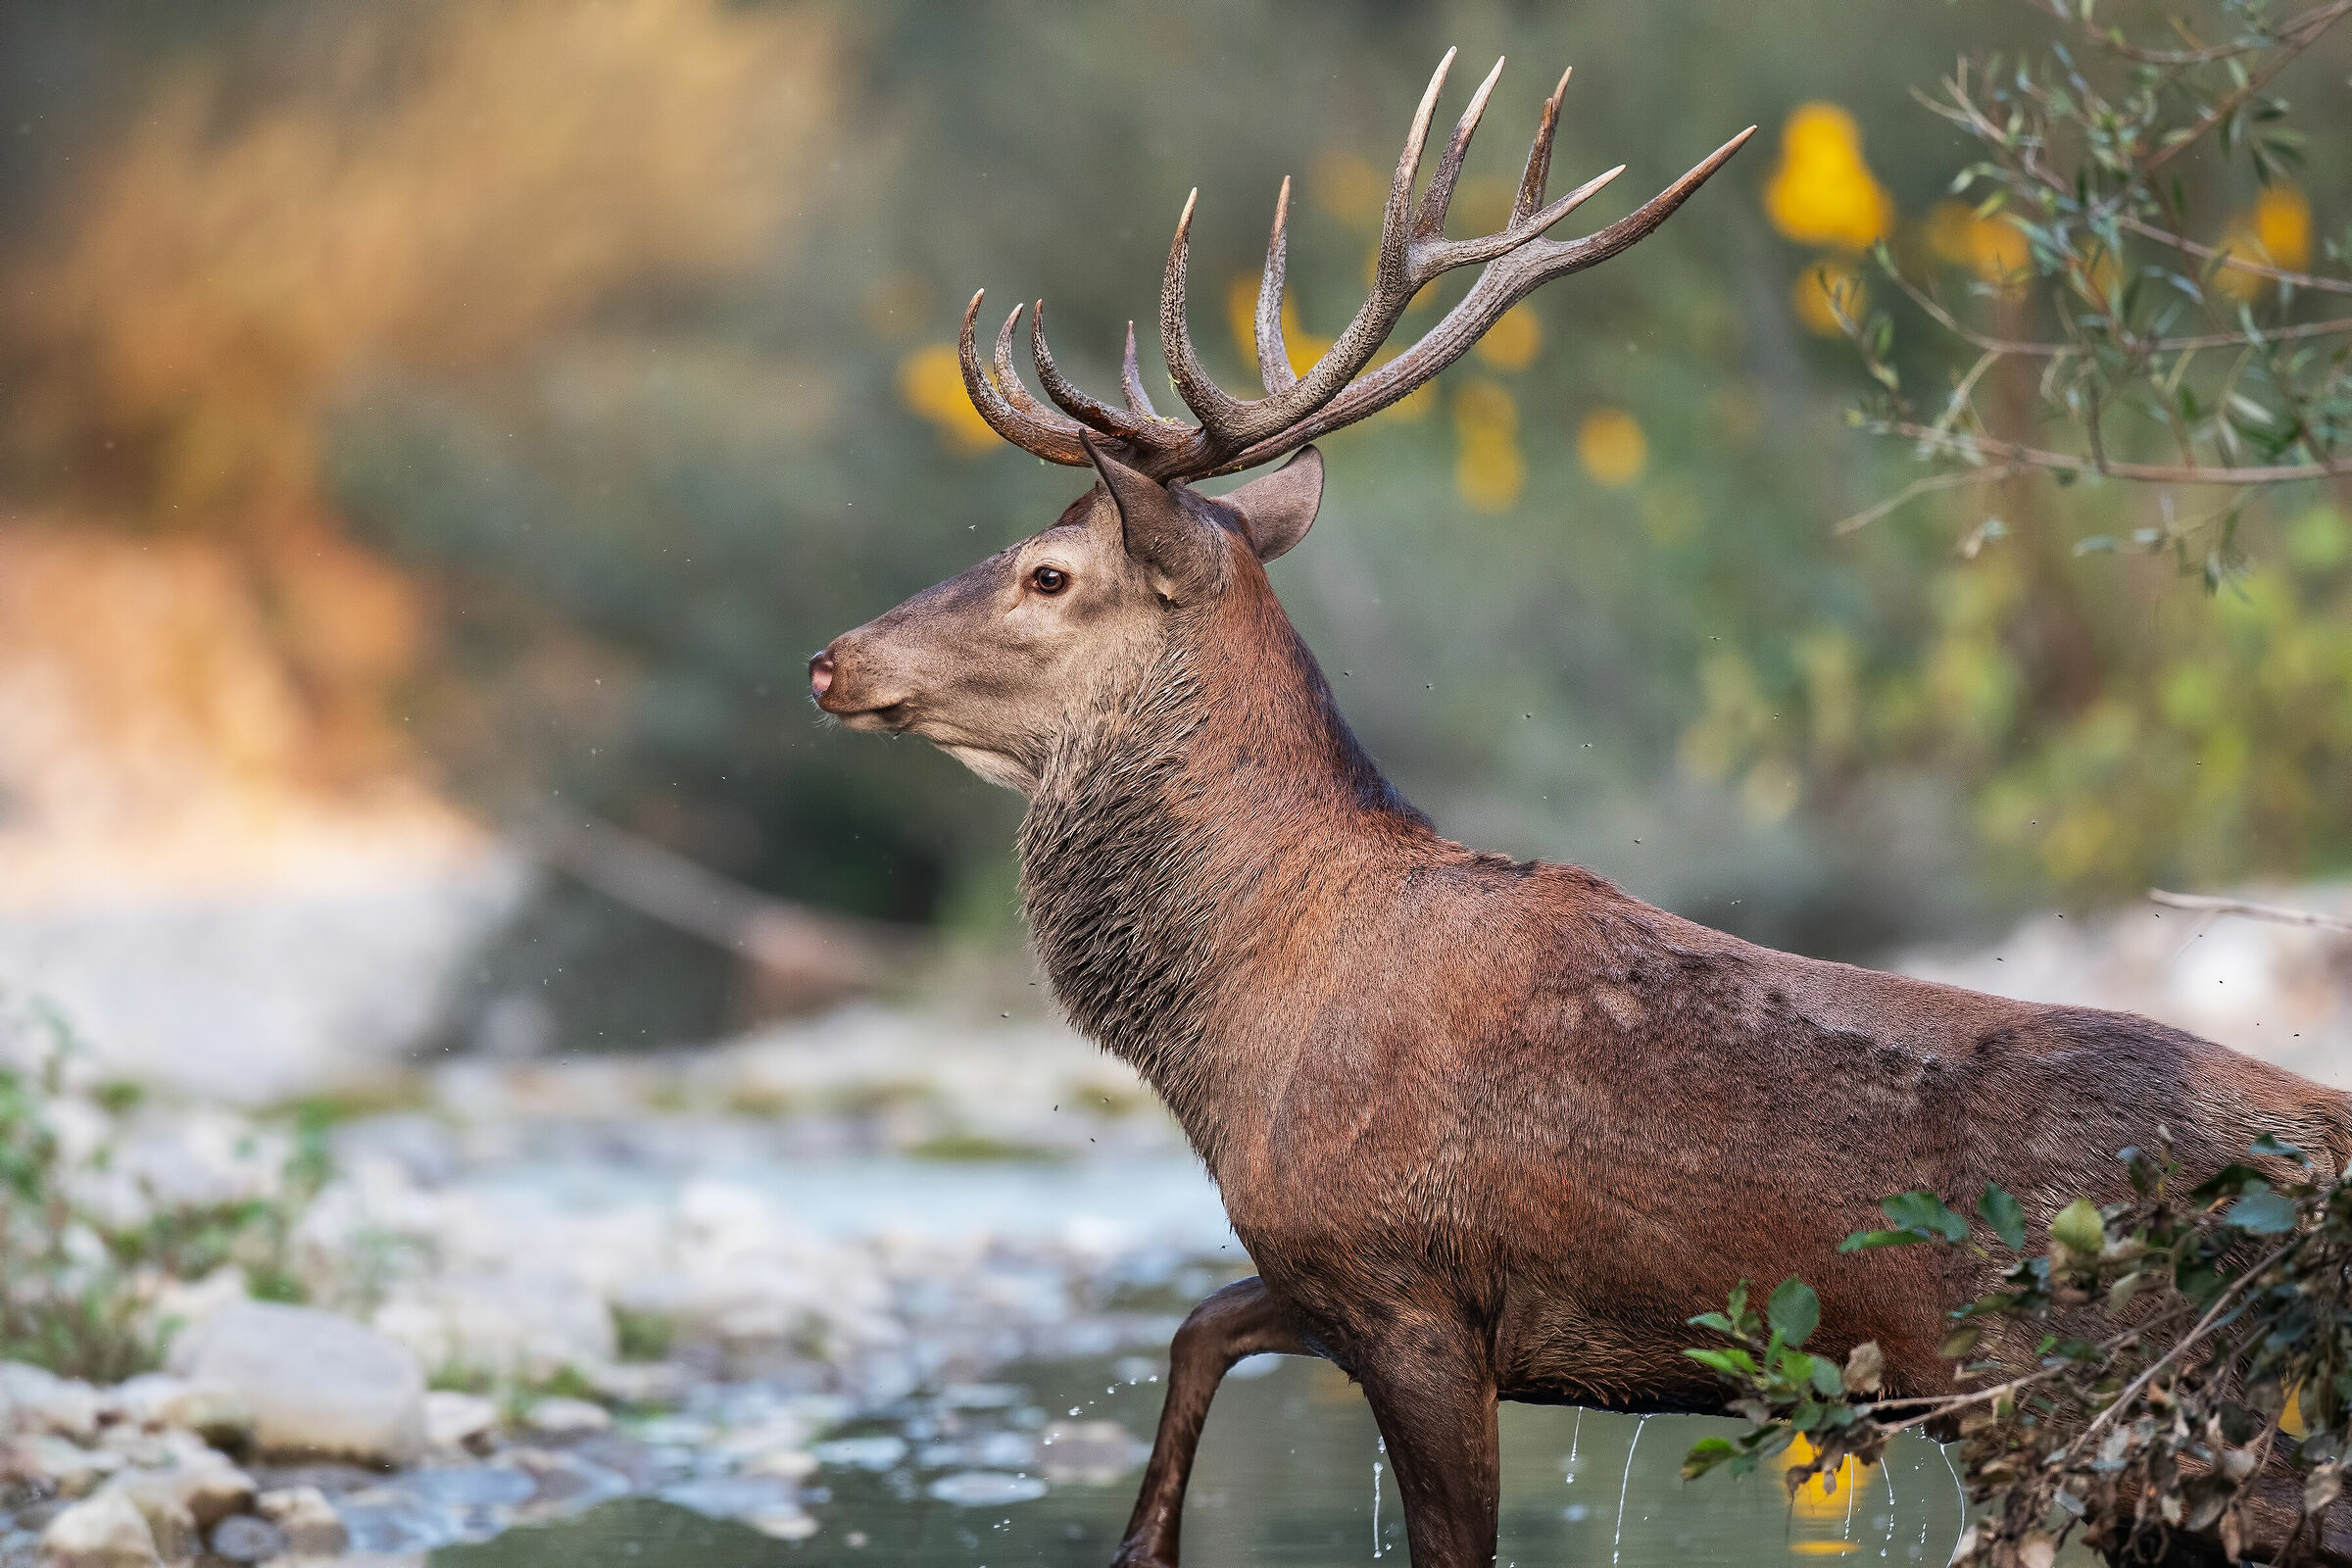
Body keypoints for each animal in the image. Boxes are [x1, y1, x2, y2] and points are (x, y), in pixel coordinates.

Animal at [806, 52, 2352, 1568]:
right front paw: (1145, 1539)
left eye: (1048, 574)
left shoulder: (1407, 1285)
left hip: (2093, 1384)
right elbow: (1195, 1328)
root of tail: (2313, 1161)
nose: (831, 659)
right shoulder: (1331, 1274)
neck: (1238, 1025)